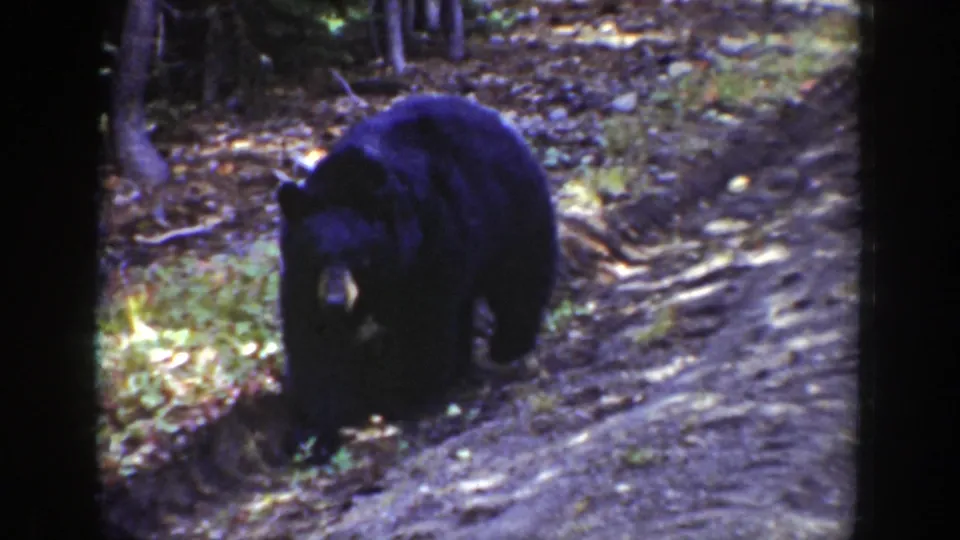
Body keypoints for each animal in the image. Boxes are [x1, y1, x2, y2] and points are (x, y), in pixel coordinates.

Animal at [277, 94, 558, 456]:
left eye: (358, 257)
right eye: (317, 255)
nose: (336, 301)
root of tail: (490, 116)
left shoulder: (429, 249)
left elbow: (424, 324)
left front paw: (403, 394)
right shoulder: (303, 280)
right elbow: (315, 342)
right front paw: (312, 434)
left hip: (510, 212)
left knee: (519, 278)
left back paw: (507, 346)